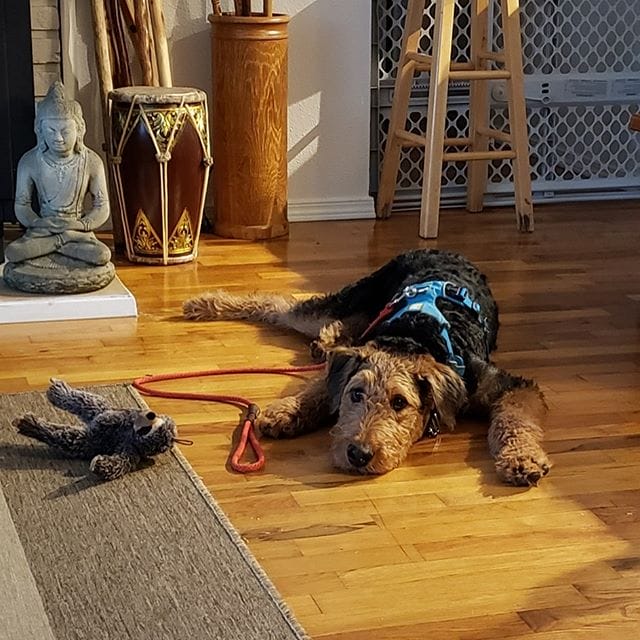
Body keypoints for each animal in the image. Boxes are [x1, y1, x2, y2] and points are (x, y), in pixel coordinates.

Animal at [183, 249, 550, 486]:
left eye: (399, 402)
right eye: (355, 394)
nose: (358, 454)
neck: (414, 338)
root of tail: (442, 250)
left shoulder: (507, 385)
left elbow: (514, 420)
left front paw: (522, 459)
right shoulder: (355, 359)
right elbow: (321, 386)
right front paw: (287, 412)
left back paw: (326, 340)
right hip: (354, 298)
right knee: (280, 305)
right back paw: (204, 303)